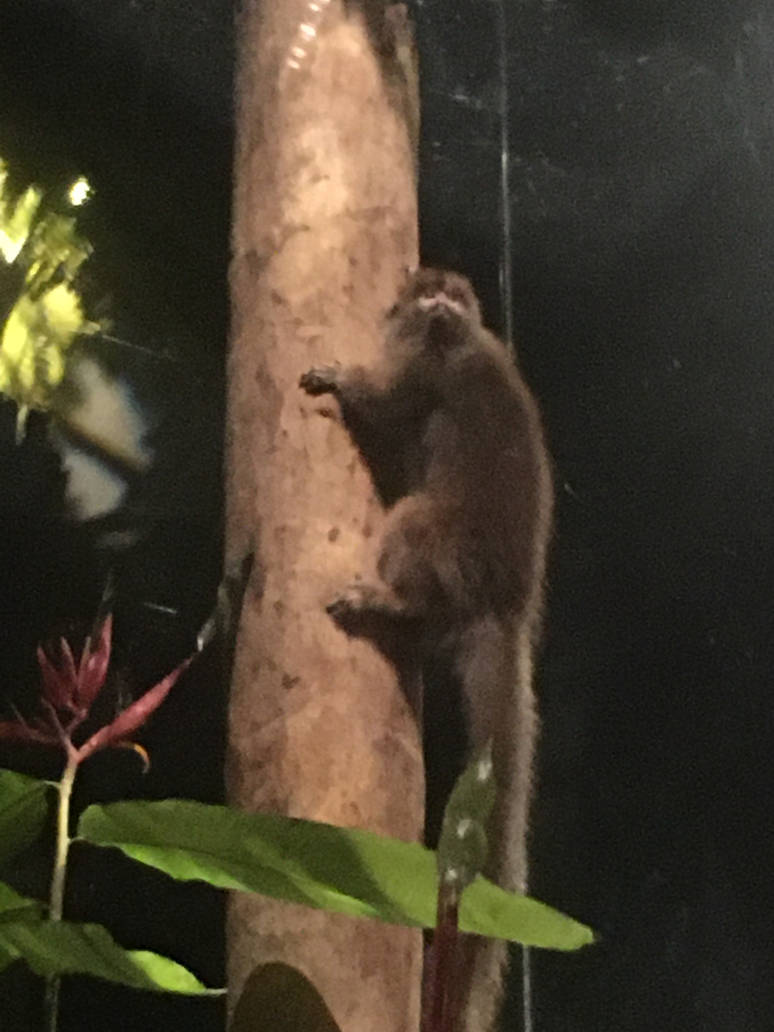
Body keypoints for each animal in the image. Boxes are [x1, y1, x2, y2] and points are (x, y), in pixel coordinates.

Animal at [299, 267, 553, 1031]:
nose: (440, 305)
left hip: (431, 538)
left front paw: (337, 378)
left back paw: (384, 602)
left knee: (410, 537)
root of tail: (504, 608)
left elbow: (381, 400)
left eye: (449, 296)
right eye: (429, 292)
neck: (457, 340)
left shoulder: (422, 368)